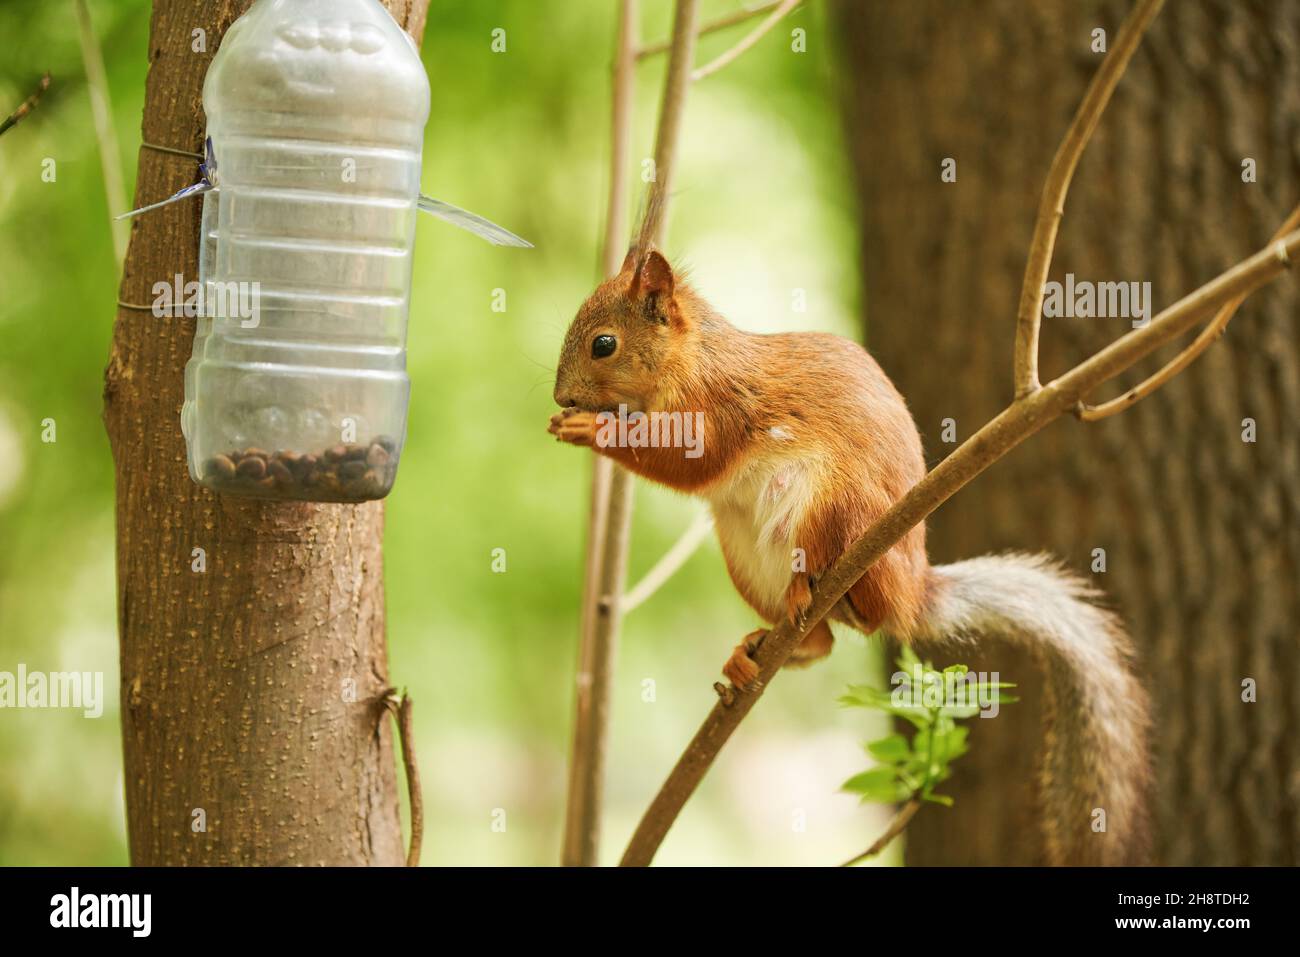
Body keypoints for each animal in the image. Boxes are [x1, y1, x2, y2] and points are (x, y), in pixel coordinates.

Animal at [547, 246, 1152, 865]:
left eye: (603, 344)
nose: (561, 398)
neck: (690, 358)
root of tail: (909, 589)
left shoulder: (719, 405)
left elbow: (688, 459)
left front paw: (590, 429)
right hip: (743, 555)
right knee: (824, 644)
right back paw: (754, 652)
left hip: (834, 502)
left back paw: (805, 592)